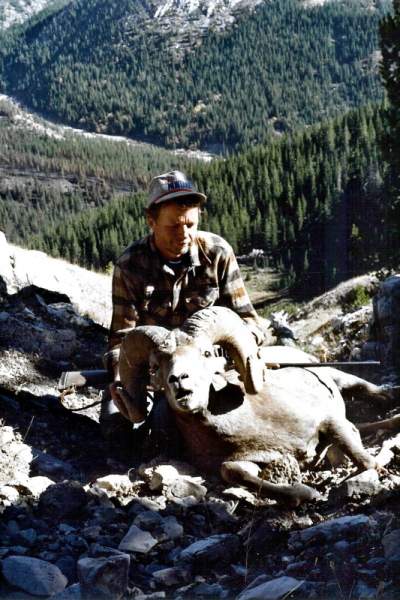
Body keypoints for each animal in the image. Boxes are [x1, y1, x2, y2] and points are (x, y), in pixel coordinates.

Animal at [118, 308, 388, 504]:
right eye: (155, 366)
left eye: (206, 354)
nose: (178, 379)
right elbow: (232, 470)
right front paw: (305, 494)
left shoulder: (328, 420)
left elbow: (365, 461)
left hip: (340, 377)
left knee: (367, 391)